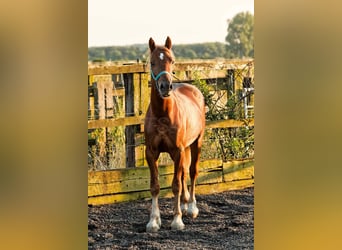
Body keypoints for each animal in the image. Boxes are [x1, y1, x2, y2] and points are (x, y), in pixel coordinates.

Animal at [145, 37, 206, 232]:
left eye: (172, 60)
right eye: (152, 62)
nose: (165, 86)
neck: (163, 114)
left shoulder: (177, 151)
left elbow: (176, 185)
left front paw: (177, 220)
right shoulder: (151, 152)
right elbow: (155, 186)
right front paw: (154, 221)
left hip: (196, 143)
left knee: (192, 172)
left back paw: (192, 208)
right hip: (184, 148)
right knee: (184, 172)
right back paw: (186, 204)